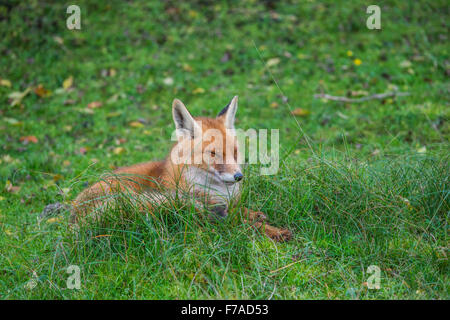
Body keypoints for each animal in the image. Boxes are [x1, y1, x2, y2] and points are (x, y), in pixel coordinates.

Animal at [73, 96, 292, 241]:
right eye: (213, 153)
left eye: (235, 152)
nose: (238, 176)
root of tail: (73, 220)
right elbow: (245, 223)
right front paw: (274, 231)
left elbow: (243, 210)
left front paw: (255, 214)